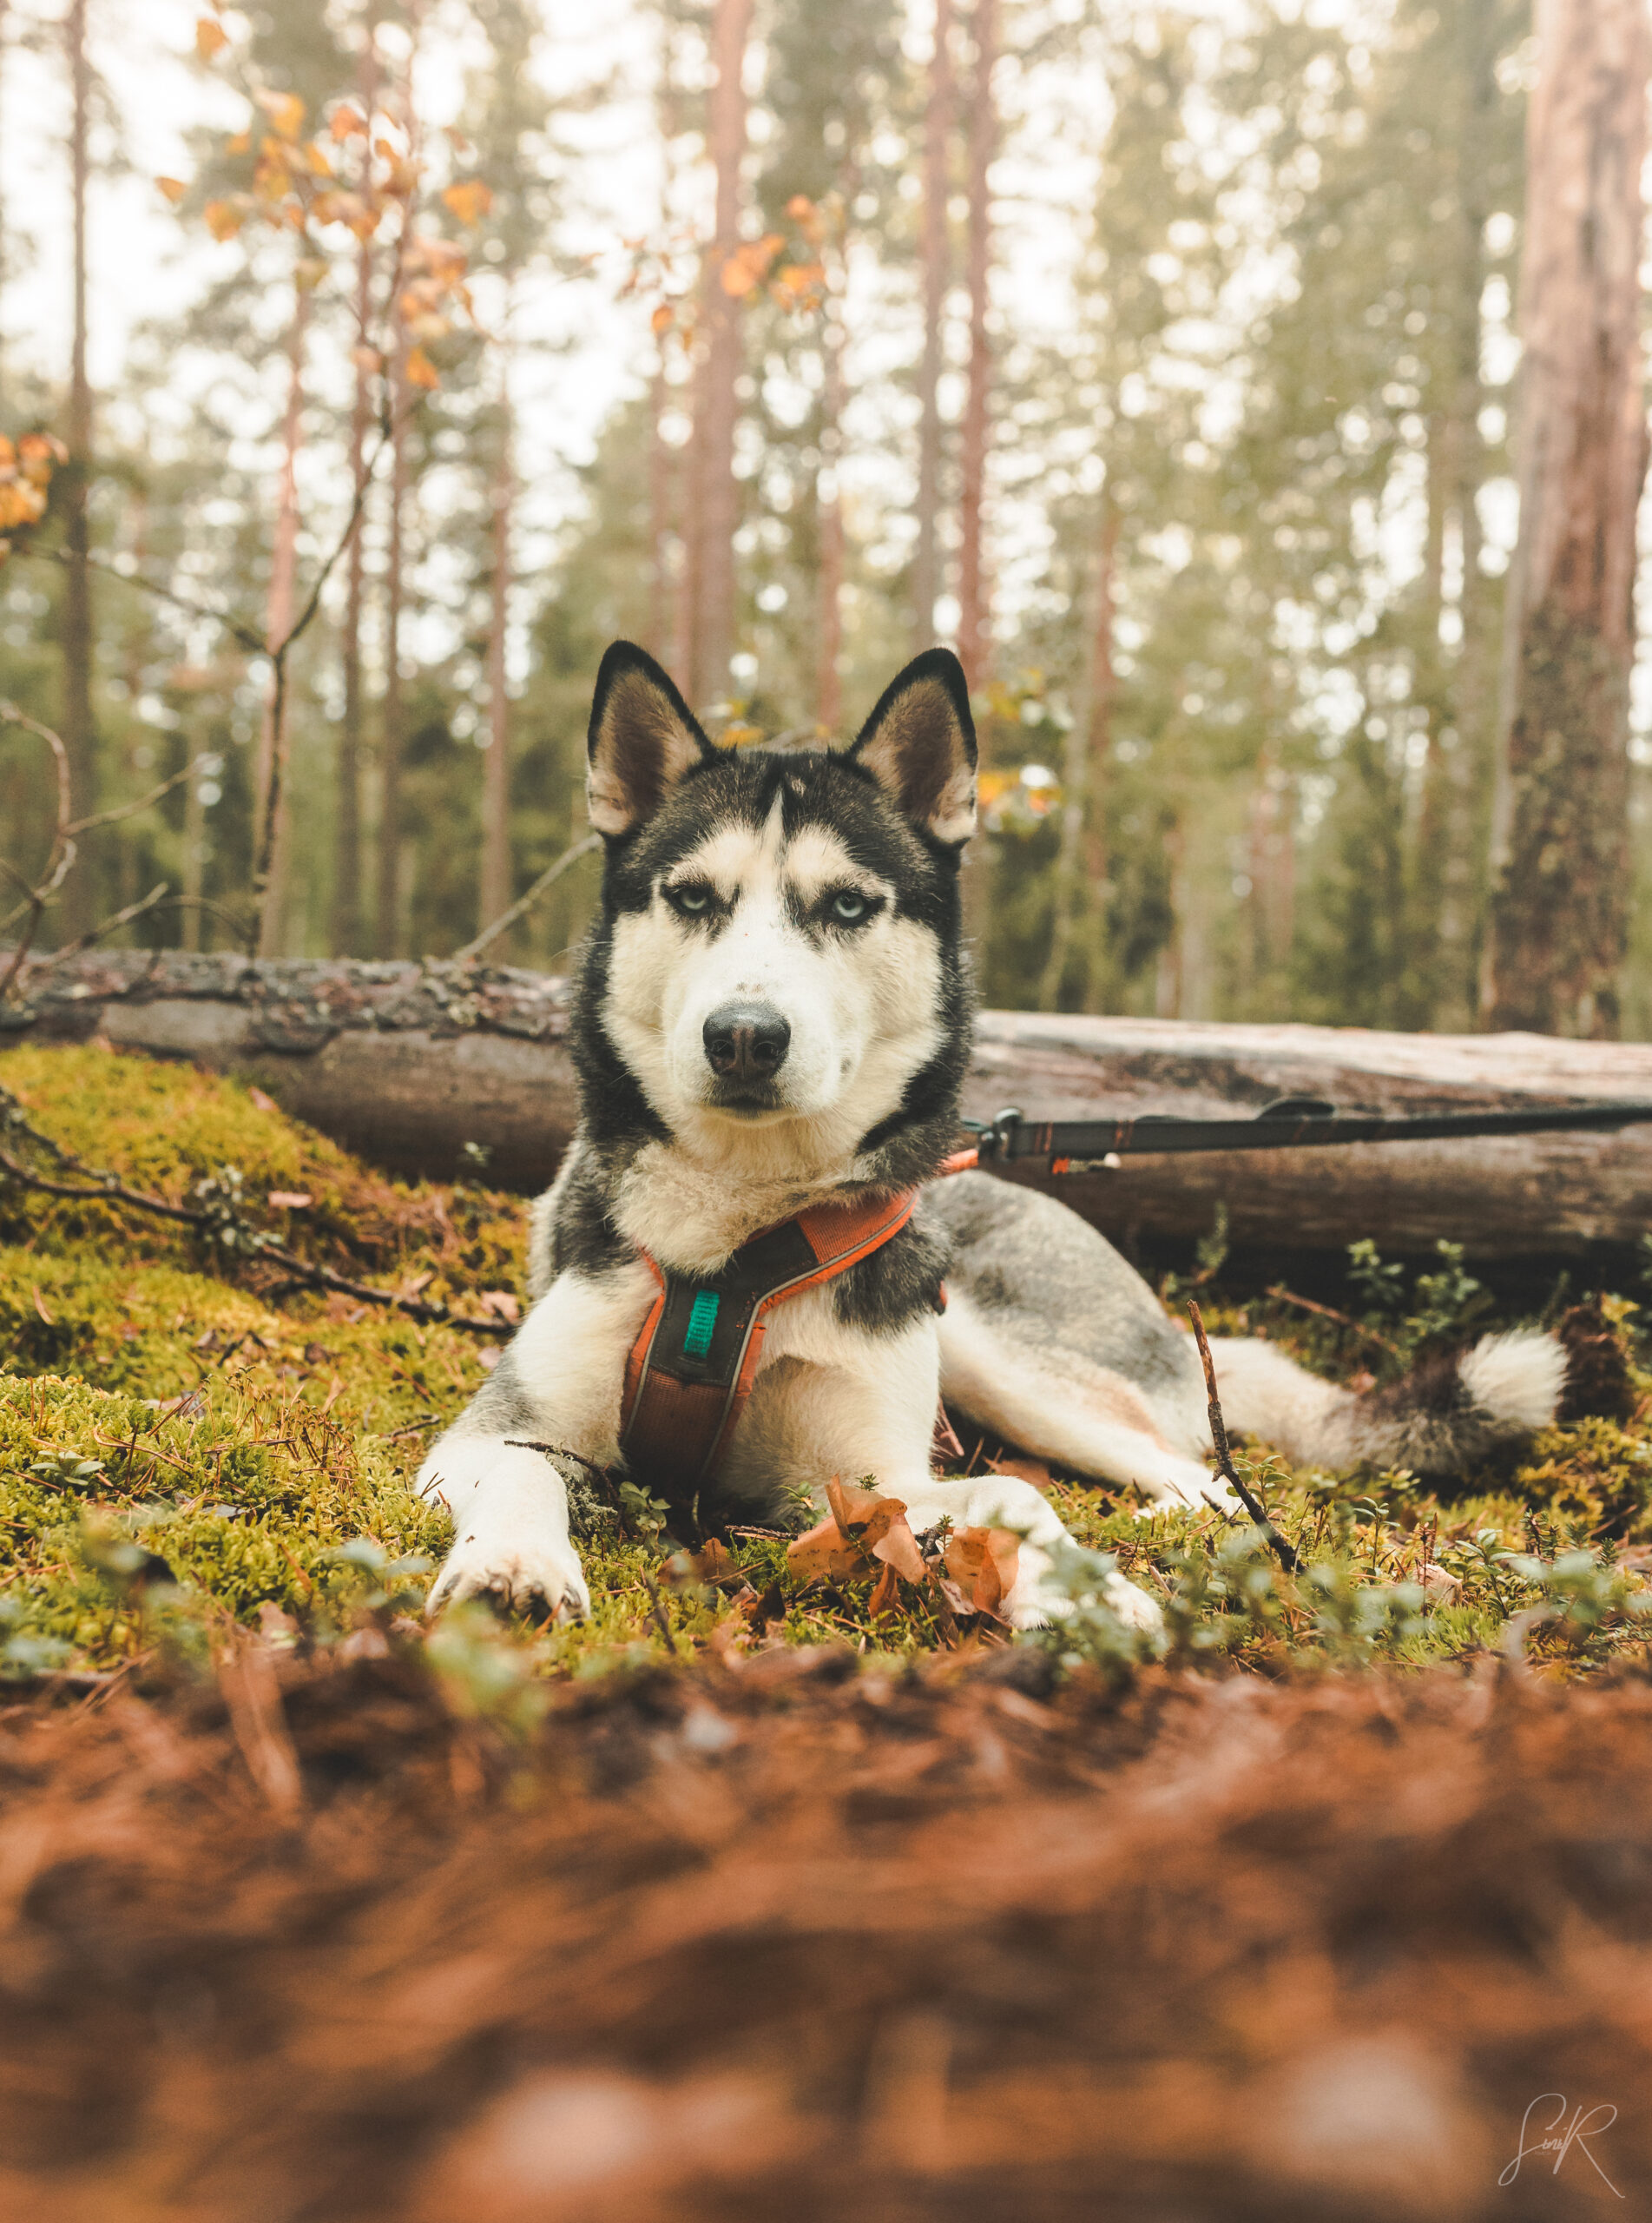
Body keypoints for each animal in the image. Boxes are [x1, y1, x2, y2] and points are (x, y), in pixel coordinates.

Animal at [415, 636, 1574, 1626]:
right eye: (694, 896)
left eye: (847, 906)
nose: (744, 1037)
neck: (738, 1232)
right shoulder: (498, 1428)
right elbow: (518, 1467)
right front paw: (514, 1560)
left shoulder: (868, 1475)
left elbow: (1011, 1501)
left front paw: (1083, 1591)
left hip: (997, 1352)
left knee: (1187, 1465)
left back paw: (1173, 1511)